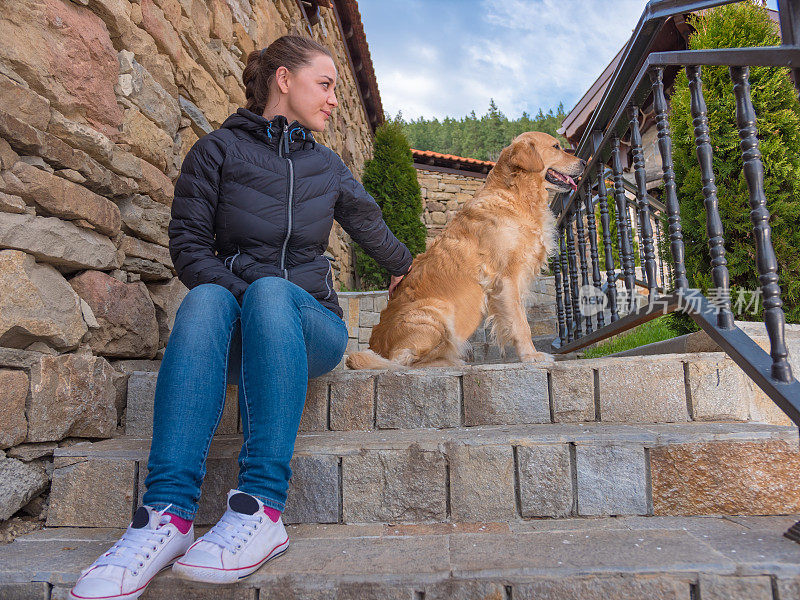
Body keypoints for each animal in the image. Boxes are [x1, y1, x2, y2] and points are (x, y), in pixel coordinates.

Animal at [344, 131, 580, 370]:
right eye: (556, 146)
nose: (582, 162)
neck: (516, 195)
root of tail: (375, 345)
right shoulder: (506, 278)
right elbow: (521, 324)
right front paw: (532, 356)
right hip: (435, 314)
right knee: (405, 362)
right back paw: (450, 362)